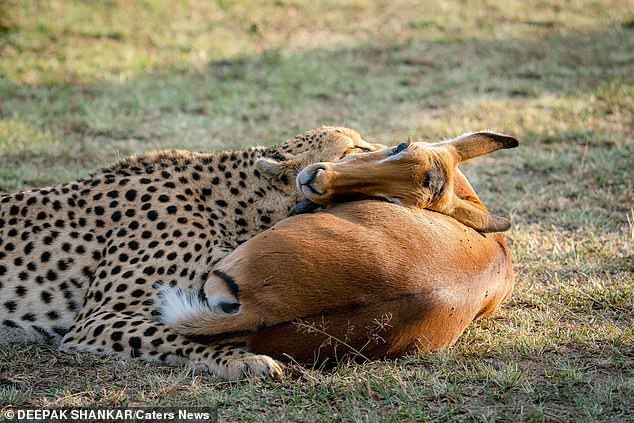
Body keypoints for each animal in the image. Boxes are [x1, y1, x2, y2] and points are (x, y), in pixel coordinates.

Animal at [0, 126, 386, 380]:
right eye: (352, 148)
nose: (396, 145)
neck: (231, 204)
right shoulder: (94, 320)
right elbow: (176, 332)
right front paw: (240, 360)